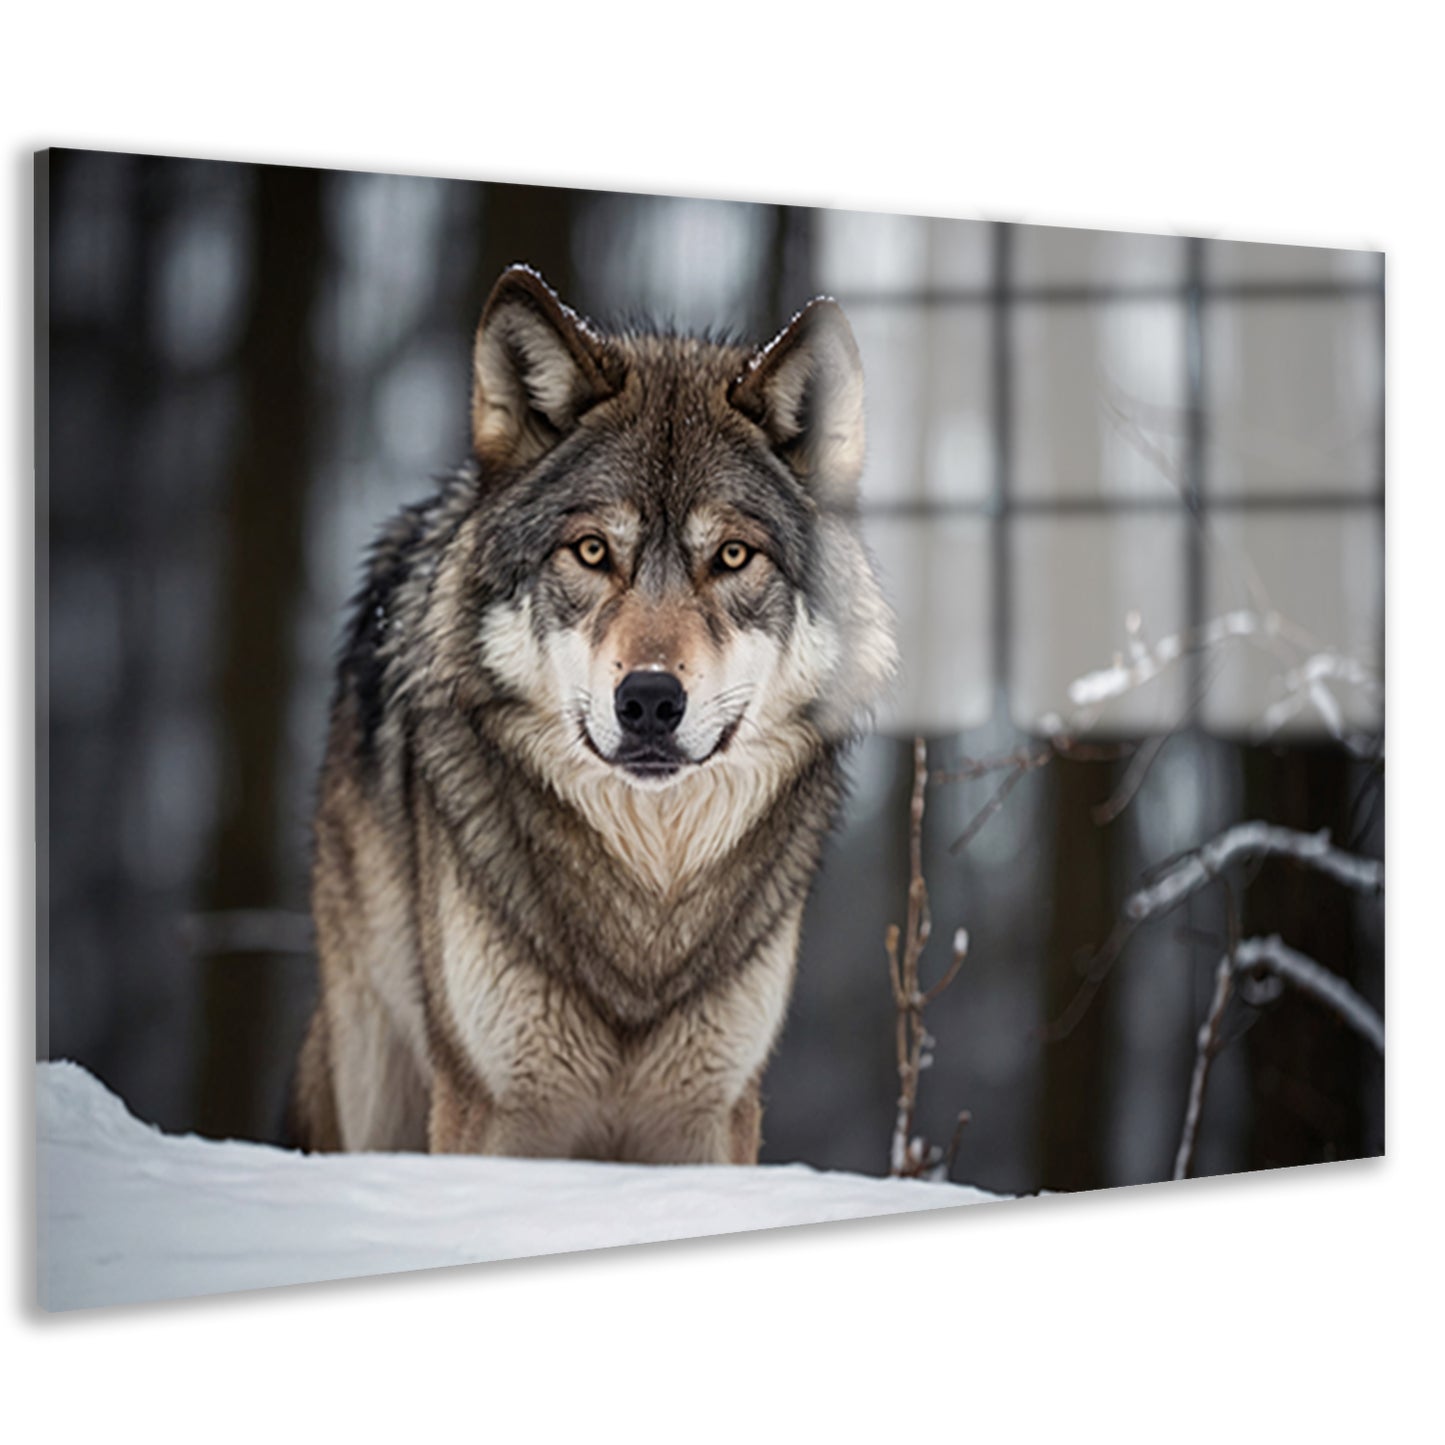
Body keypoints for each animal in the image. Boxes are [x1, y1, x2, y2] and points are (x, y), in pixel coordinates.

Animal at [292, 264, 896, 1164]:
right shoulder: (484, 1107)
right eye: (590, 551)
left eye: (732, 556)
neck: (648, 909)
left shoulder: (715, 1113)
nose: (648, 698)